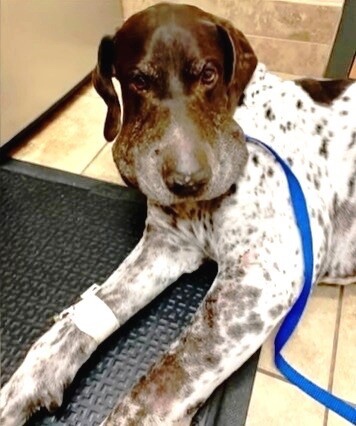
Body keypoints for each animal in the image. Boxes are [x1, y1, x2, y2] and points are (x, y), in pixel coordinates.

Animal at [0, 3, 356, 426]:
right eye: (138, 81)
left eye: (209, 74)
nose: (188, 182)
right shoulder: (166, 246)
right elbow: (85, 317)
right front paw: (29, 381)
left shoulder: (259, 278)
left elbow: (158, 388)